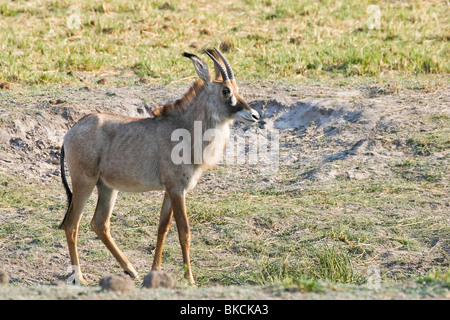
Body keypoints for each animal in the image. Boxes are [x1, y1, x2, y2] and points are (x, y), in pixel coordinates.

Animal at [59, 48, 260, 284]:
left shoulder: (170, 191)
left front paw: (155, 271)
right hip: (84, 182)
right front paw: (190, 279)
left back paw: (130, 270)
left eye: (237, 89)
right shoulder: (177, 190)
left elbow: (162, 228)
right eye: (226, 90)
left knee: (99, 223)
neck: (186, 131)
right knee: (72, 224)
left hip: (107, 187)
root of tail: (70, 132)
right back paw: (79, 277)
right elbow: (184, 231)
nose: (255, 115)